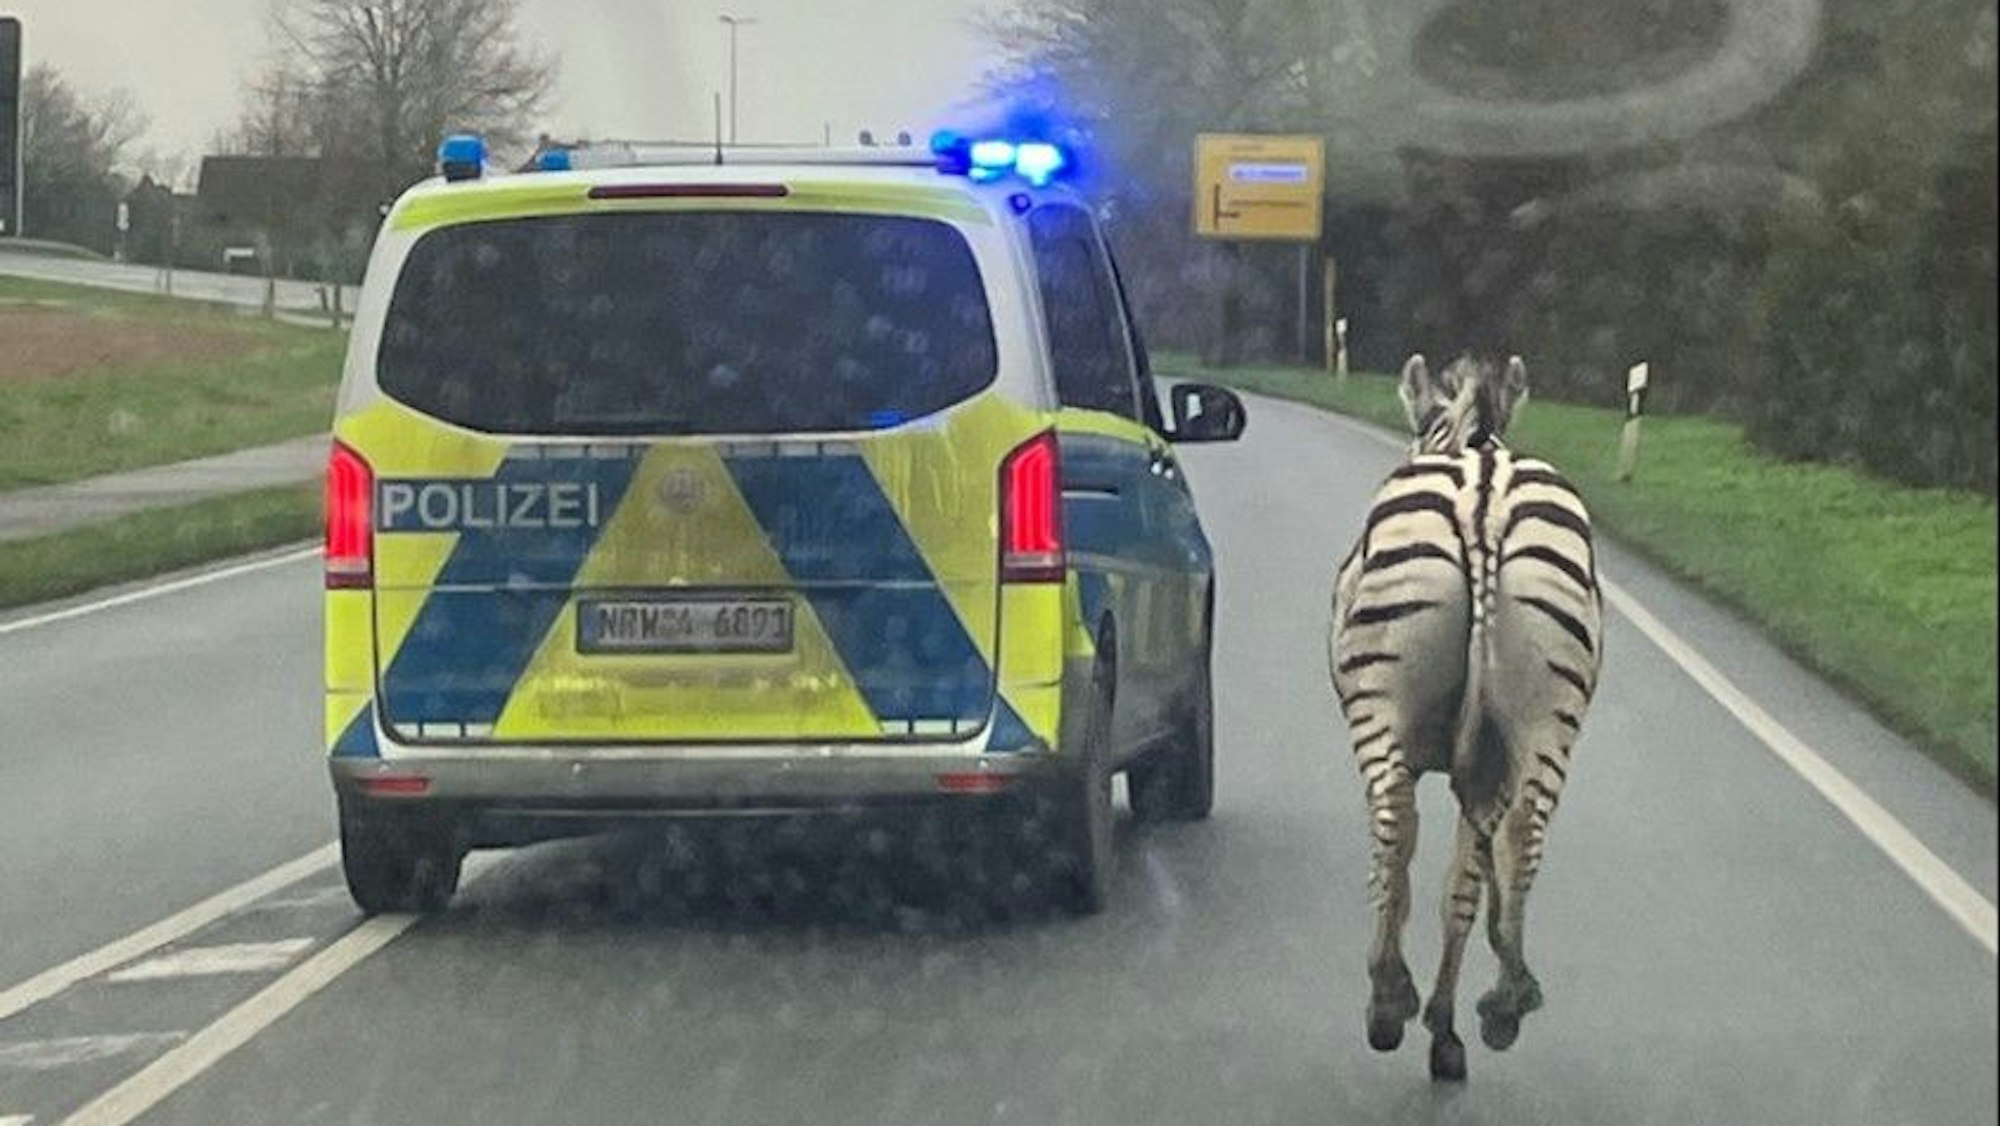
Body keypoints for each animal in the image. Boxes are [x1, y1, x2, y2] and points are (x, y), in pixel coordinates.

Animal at [1328, 353, 1603, 1081]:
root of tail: (1486, 500)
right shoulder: (1487, 767)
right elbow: (1465, 890)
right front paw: (1450, 1031)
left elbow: (1420, 876)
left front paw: (1427, 1021)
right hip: (1548, 718)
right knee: (1523, 835)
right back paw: (1505, 1001)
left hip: (1381, 704)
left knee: (1394, 825)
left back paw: (1389, 997)